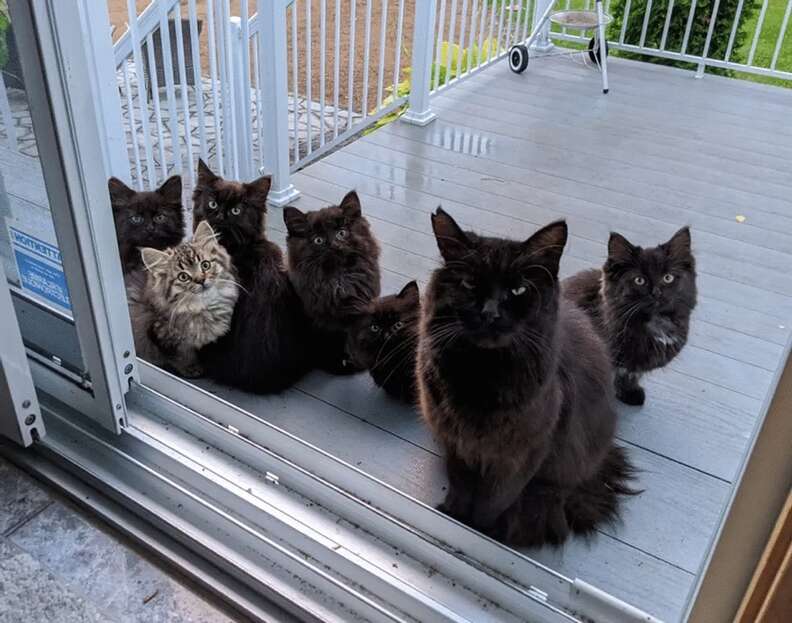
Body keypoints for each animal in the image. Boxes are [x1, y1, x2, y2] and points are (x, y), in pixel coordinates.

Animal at [124, 222, 238, 382]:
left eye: (205, 265)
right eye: (183, 277)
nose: (201, 280)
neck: (200, 308)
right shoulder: (160, 335)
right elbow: (180, 356)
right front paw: (191, 368)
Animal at [284, 190, 382, 376]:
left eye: (341, 233)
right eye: (318, 240)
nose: (335, 245)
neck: (339, 279)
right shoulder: (321, 322)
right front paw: (344, 365)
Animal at [418, 208, 636, 544]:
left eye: (518, 290)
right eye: (469, 284)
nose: (490, 313)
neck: (482, 377)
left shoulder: (522, 455)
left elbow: (494, 500)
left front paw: (480, 530)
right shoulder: (454, 441)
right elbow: (461, 484)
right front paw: (453, 515)